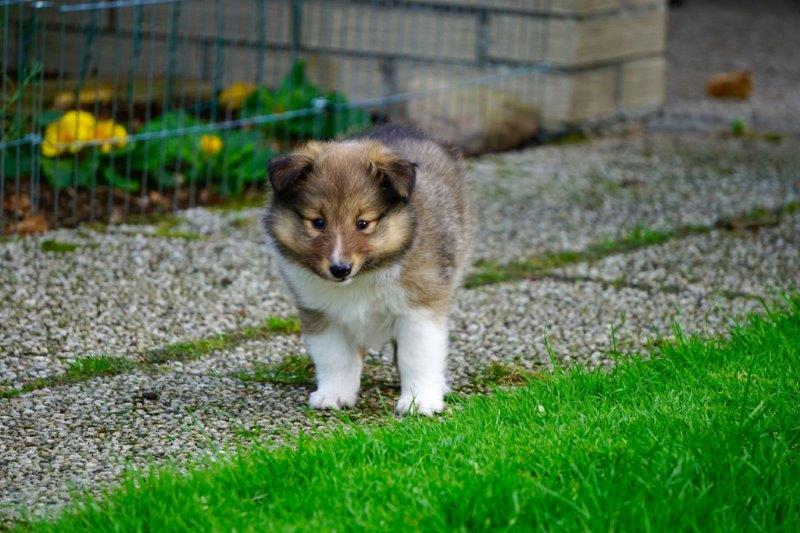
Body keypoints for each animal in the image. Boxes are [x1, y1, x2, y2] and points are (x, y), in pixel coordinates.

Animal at [264, 125, 471, 415]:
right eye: (318, 222)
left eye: (362, 223)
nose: (340, 269)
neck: (362, 277)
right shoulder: (319, 312)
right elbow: (334, 357)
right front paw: (334, 394)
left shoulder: (420, 307)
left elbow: (416, 356)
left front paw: (419, 401)